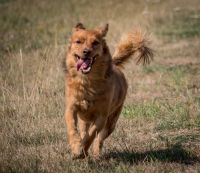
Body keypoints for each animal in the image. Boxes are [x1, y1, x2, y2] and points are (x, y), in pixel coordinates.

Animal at [64, 23, 153, 159]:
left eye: (95, 42)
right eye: (78, 41)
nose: (86, 51)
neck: (88, 81)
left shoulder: (101, 116)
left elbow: (92, 135)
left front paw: (81, 150)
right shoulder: (71, 108)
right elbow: (72, 128)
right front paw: (76, 147)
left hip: (111, 122)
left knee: (99, 138)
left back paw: (96, 153)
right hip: (84, 120)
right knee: (84, 131)